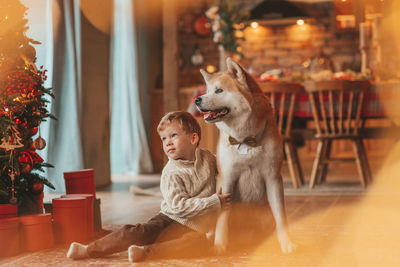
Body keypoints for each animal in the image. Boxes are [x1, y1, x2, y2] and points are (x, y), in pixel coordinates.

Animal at [195, 57, 296, 254]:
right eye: (207, 90)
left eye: (219, 90)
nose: (197, 99)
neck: (246, 139)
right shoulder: (226, 179)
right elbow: (223, 216)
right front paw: (220, 245)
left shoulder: (273, 177)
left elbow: (281, 216)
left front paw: (286, 243)